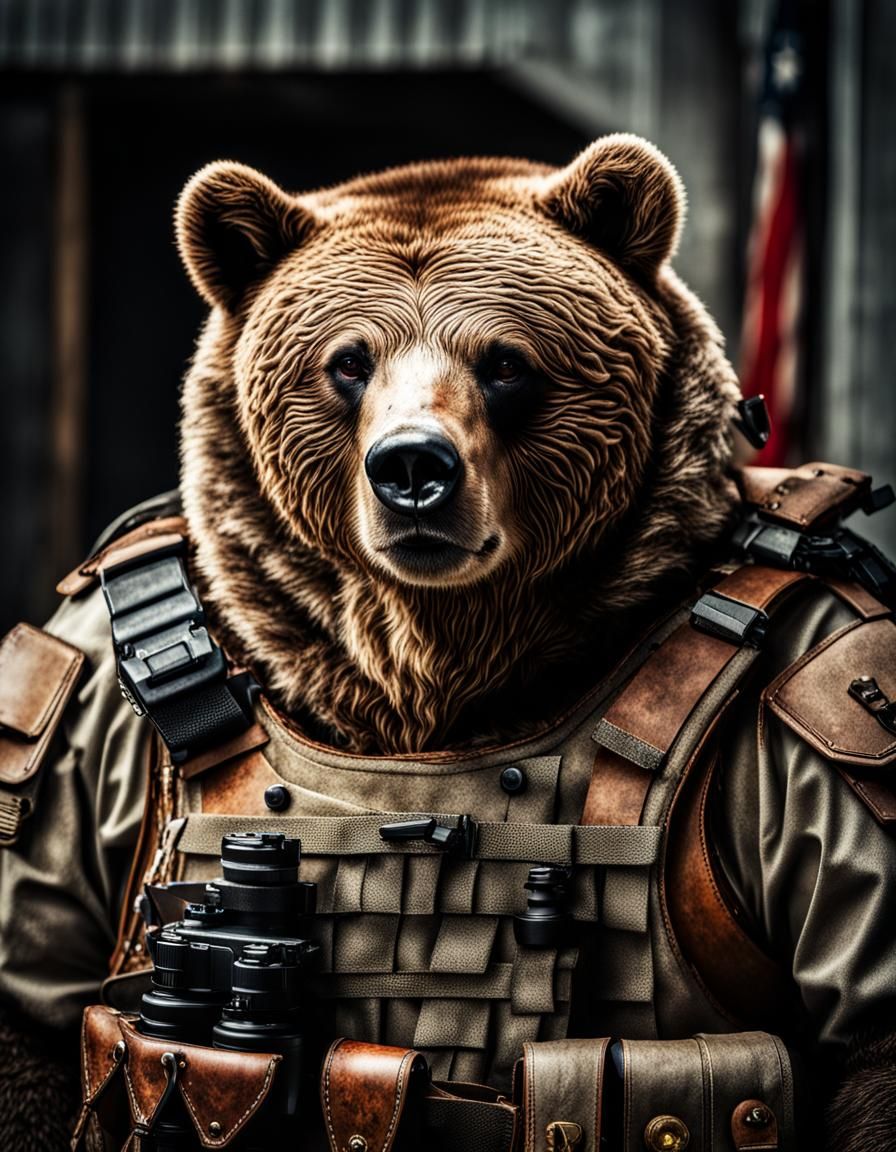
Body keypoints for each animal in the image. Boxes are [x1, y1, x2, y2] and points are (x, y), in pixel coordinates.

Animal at [0, 135, 894, 1152]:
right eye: (348, 361)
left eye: (505, 361)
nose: (412, 466)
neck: (429, 676)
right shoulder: (79, 685)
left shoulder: (824, 693)